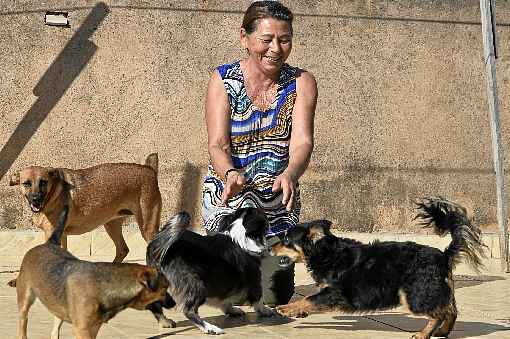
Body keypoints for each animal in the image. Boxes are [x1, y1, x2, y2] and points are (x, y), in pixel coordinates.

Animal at [9, 153, 161, 262]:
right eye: (26, 183)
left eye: (43, 182)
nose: (36, 199)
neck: (53, 193)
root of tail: (150, 170)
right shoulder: (61, 236)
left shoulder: (52, 234)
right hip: (111, 224)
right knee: (123, 249)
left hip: (147, 228)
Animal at [10, 206, 170, 339]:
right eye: (164, 288)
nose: (173, 303)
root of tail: (49, 243)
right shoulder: (82, 330)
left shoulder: (93, 328)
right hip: (25, 299)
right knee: (23, 324)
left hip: (58, 305)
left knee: (55, 329)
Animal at [145, 207, 276, 334]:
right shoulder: (255, 279)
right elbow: (258, 299)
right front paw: (266, 310)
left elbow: (225, 300)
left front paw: (232, 310)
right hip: (196, 285)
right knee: (188, 310)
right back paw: (210, 328)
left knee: (154, 304)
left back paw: (165, 321)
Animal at [270, 197, 486, 339]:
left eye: (286, 240)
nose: (269, 246)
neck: (326, 253)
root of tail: (444, 255)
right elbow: (310, 300)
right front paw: (297, 312)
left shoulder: (335, 293)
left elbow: (308, 298)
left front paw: (286, 308)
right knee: (450, 309)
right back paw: (442, 331)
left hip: (414, 295)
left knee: (439, 313)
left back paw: (423, 334)